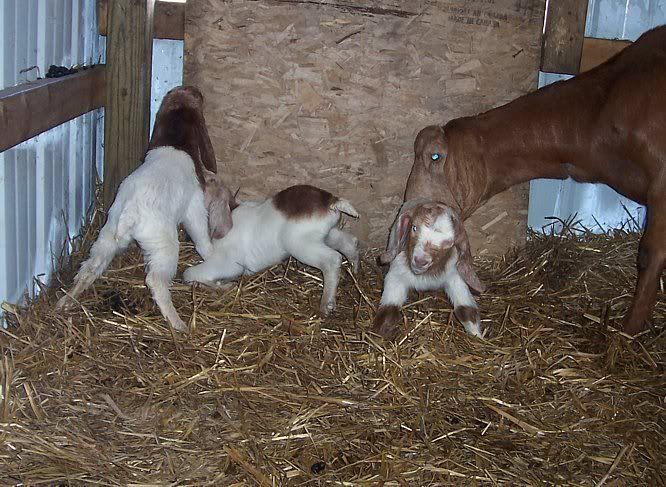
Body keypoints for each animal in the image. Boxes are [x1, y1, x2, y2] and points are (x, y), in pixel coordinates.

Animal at [56, 85, 235, 332]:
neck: (174, 142)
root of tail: (129, 214)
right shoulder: (195, 209)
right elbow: (202, 241)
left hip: (106, 236)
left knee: (90, 268)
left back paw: (66, 301)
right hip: (164, 246)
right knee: (155, 280)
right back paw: (178, 324)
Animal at [183, 184, 360, 316]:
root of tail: (331, 201)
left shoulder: (229, 262)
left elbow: (189, 273)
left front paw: (224, 287)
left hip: (300, 244)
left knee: (332, 259)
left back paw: (327, 304)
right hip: (324, 235)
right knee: (349, 242)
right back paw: (355, 269)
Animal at [374, 199, 485, 339]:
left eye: (449, 243)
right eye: (414, 227)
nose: (420, 261)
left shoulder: (455, 276)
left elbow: (467, 310)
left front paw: (478, 337)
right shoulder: (396, 276)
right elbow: (388, 311)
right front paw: (378, 337)